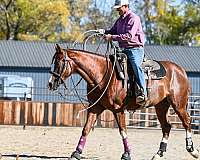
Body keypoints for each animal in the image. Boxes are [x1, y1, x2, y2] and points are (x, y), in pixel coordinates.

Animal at [48, 44, 198, 160]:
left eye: (59, 62)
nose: (50, 83)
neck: (103, 74)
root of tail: (180, 70)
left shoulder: (118, 109)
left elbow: (123, 131)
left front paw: (127, 154)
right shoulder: (95, 107)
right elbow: (86, 129)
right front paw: (76, 153)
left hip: (178, 104)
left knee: (186, 122)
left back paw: (192, 150)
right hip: (161, 106)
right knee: (166, 126)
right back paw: (159, 154)